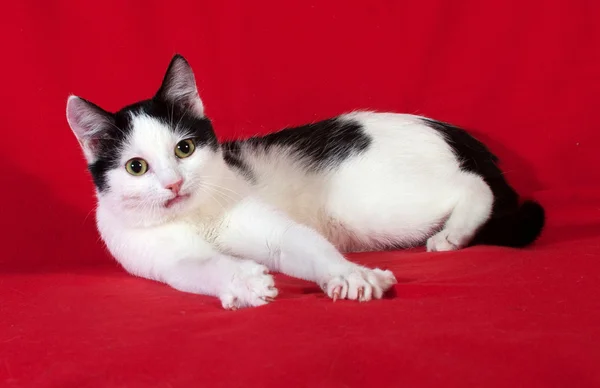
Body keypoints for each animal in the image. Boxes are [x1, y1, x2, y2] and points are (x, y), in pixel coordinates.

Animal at [64, 53, 544, 310]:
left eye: (184, 149)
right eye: (136, 167)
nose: (173, 185)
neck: (194, 215)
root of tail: (446, 130)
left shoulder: (272, 228)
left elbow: (303, 245)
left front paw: (350, 275)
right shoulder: (164, 259)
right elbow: (202, 267)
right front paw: (244, 282)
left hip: (373, 206)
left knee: (473, 185)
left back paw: (453, 233)